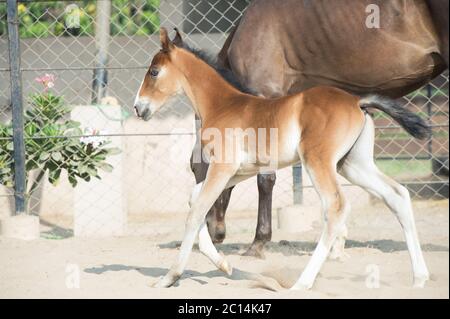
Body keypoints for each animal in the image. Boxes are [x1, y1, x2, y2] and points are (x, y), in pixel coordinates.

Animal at [134, 29, 432, 290]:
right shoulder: (239, 171)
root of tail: (357, 101)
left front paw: (169, 278)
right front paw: (224, 265)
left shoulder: (223, 168)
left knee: (335, 206)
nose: (139, 108)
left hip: (319, 161)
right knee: (397, 195)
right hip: (353, 165)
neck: (223, 105)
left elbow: (196, 211)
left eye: (154, 71)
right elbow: (195, 198)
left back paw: (302, 283)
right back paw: (419, 278)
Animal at [192, 0, 448, 258]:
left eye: (194, 168)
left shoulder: (265, 99)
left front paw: (258, 243)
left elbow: (266, 178)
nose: (213, 233)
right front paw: (338, 241)